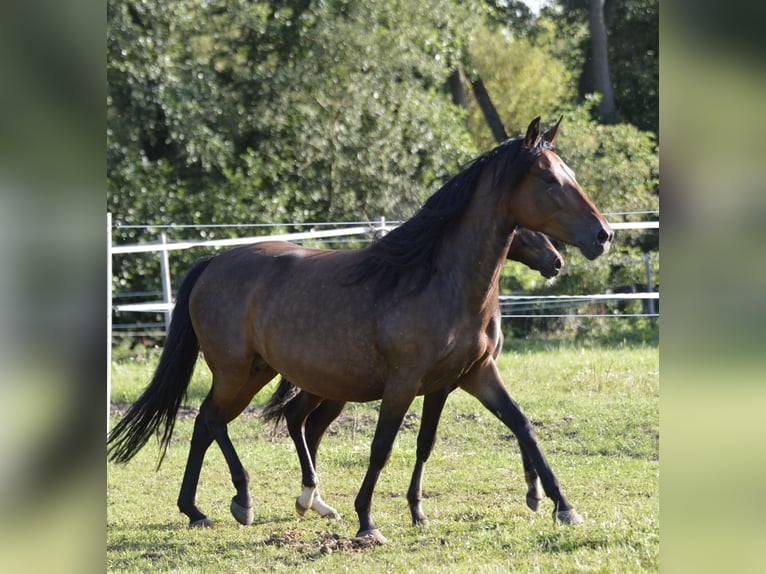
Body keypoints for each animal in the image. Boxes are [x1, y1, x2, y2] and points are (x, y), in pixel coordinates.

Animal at [262, 227, 564, 524]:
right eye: (524, 229)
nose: (555, 262)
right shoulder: (443, 386)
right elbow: (425, 442)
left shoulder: (475, 377)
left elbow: (515, 423)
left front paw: (535, 492)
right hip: (325, 387)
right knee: (297, 417)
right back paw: (309, 498)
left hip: (335, 391)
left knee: (312, 427)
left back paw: (318, 503)